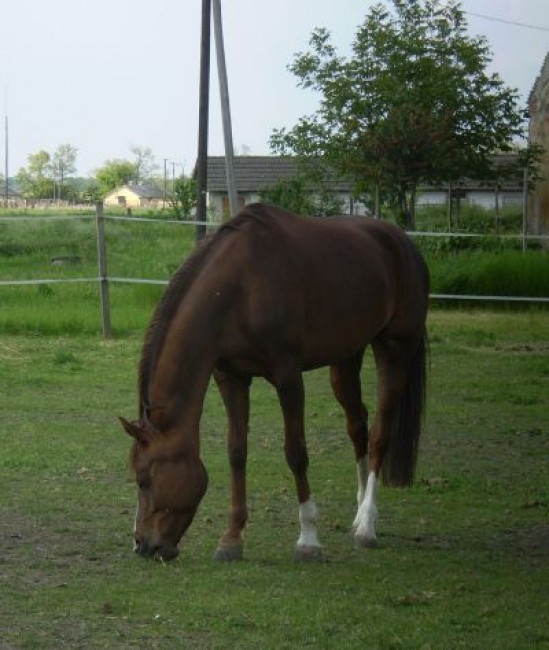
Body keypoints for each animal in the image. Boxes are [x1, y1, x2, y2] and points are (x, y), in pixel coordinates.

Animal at [119, 204, 428, 560]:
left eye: (144, 480)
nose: (143, 544)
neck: (240, 287)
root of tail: (404, 243)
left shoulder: (288, 377)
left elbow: (296, 453)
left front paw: (308, 539)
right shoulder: (231, 377)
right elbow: (236, 452)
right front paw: (232, 539)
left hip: (395, 349)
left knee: (380, 433)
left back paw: (367, 524)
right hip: (346, 359)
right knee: (358, 426)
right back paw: (358, 512)